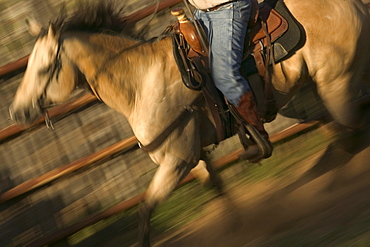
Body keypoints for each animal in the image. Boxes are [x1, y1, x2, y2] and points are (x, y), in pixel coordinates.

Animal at [7, 0, 370, 246]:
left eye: (44, 68)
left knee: (351, 132)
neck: (141, 80)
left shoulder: (177, 160)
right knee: (344, 131)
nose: (16, 112)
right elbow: (217, 188)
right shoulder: (193, 158)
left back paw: (326, 182)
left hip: (335, 82)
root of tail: (351, 5)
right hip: (315, 90)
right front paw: (238, 228)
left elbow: (144, 210)